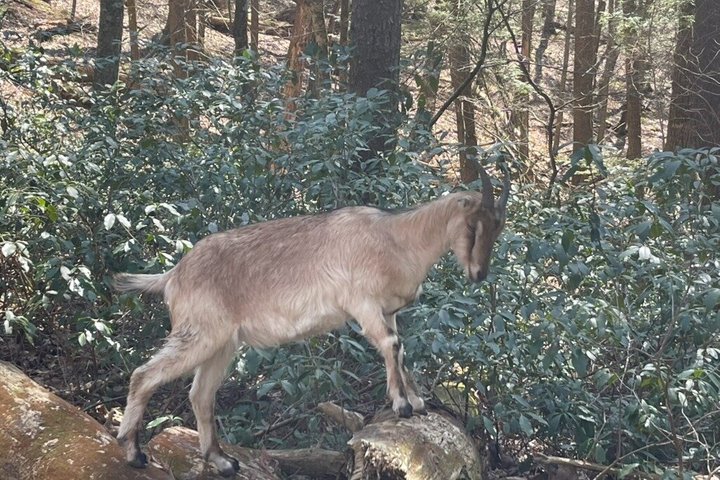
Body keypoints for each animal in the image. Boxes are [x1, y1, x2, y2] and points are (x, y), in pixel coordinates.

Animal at [114, 168, 510, 477]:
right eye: (473, 225)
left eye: (498, 228)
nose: (478, 273)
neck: (397, 237)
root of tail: (173, 275)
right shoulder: (363, 304)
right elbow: (391, 345)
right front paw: (402, 405)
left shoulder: (389, 311)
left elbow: (400, 351)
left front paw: (416, 400)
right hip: (199, 332)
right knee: (144, 375)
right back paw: (133, 453)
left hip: (223, 344)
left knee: (201, 394)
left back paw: (223, 462)